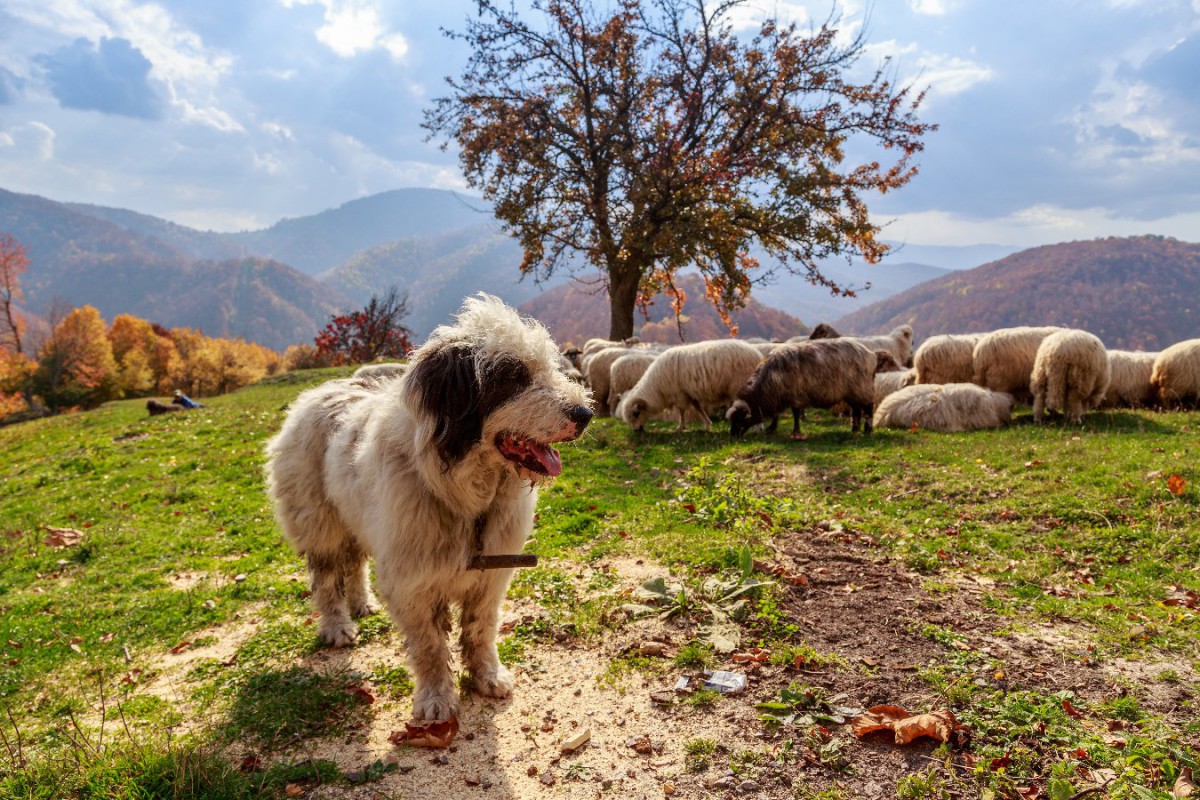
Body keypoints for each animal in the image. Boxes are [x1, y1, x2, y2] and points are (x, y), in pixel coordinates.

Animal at [267, 293, 595, 719]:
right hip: (317, 521)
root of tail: (319, 391)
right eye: (512, 376)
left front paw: (488, 676)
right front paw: (437, 699)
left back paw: (362, 604)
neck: (465, 496)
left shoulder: (490, 577)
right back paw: (337, 625)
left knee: (354, 564)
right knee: (325, 579)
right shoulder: (413, 583)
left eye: (550, 367)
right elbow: (429, 647)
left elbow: (480, 630)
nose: (585, 414)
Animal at [619, 340, 758, 434]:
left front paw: (681, 428)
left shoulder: (679, 394)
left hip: (740, 385)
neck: (657, 388)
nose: (636, 430)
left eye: (636, 413)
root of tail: (757, 355)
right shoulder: (689, 394)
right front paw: (707, 425)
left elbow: (681, 412)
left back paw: (756, 429)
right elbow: (698, 409)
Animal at [724, 338, 878, 438]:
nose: (732, 434)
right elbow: (777, 414)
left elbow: (796, 414)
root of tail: (870, 354)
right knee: (856, 409)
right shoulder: (780, 397)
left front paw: (795, 432)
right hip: (852, 392)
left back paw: (867, 431)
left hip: (862, 388)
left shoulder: (794, 396)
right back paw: (854, 429)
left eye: (740, 418)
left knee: (868, 408)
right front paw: (771, 428)